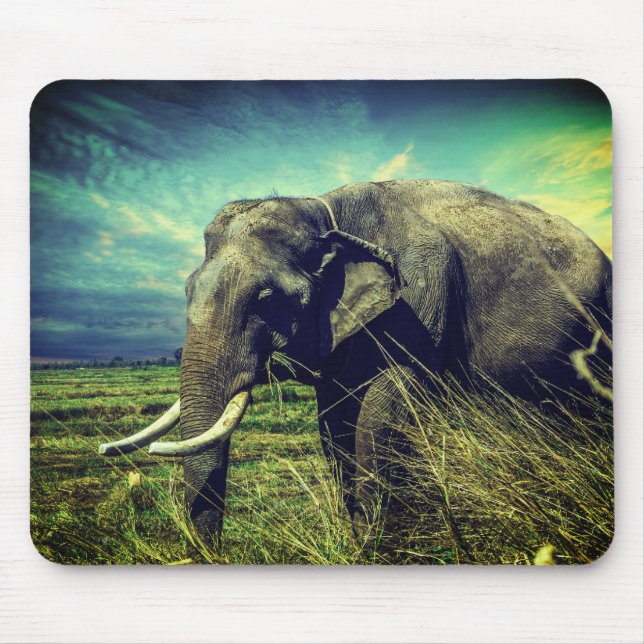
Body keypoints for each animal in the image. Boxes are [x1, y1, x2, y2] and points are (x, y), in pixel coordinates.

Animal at [99, 179, 612, 546]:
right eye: (187, 290)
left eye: (266, 299)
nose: (212, 554)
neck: (324, 210)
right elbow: (334, 422)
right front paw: (363, 540)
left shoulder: (419, 299)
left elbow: (381, 414)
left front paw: (380, 545)